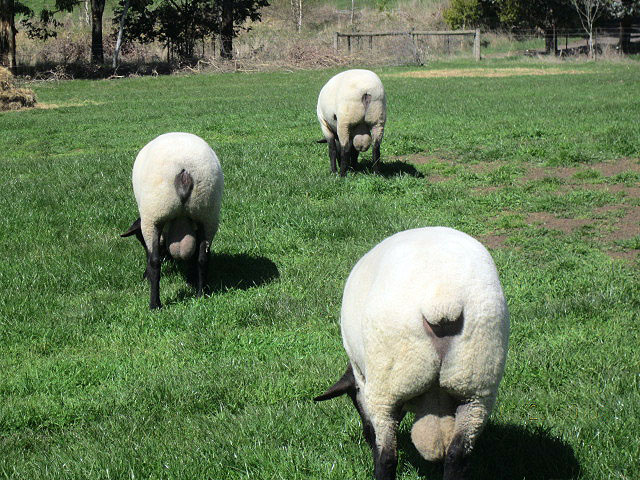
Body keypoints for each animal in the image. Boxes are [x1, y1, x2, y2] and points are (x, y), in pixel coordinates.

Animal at [121, 133, 224, 310]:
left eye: (139, 240)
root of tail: (184, 171)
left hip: (155, 215)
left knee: (155, 262)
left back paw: (154, 304)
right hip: (207, 215)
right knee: (203, 258)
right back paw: (200, 295)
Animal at [316, 228, 510, 480]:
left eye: (353, 396)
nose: (366, 436)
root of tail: (442, 302)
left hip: (389, 385)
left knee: (387, 458)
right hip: (476, 386)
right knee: (457, 455)